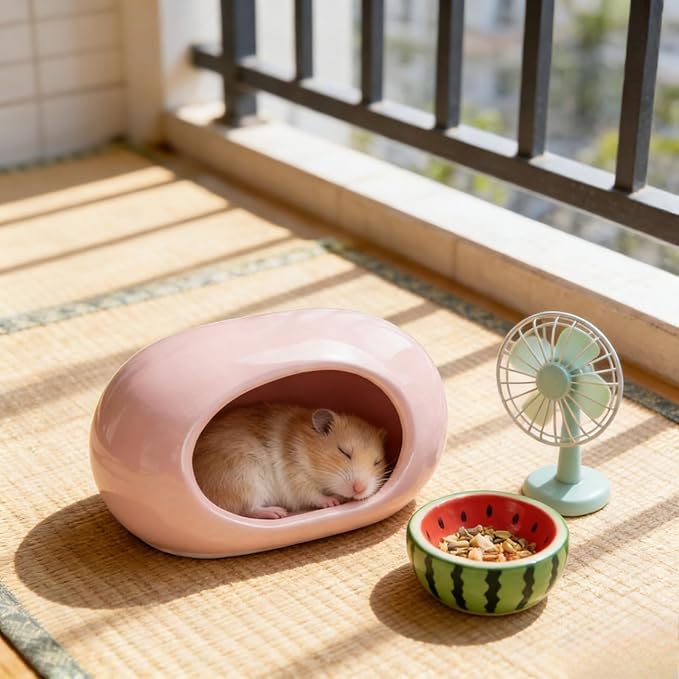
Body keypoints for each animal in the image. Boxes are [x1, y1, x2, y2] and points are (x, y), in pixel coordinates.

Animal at [192, 403, 389, 519]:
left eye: (377, 462)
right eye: (344, 452)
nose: (359, 489)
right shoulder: (295, 476)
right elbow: (313, 494)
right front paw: (333, 501)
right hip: (245, 479)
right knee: (245, 509)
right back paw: (277, 512)